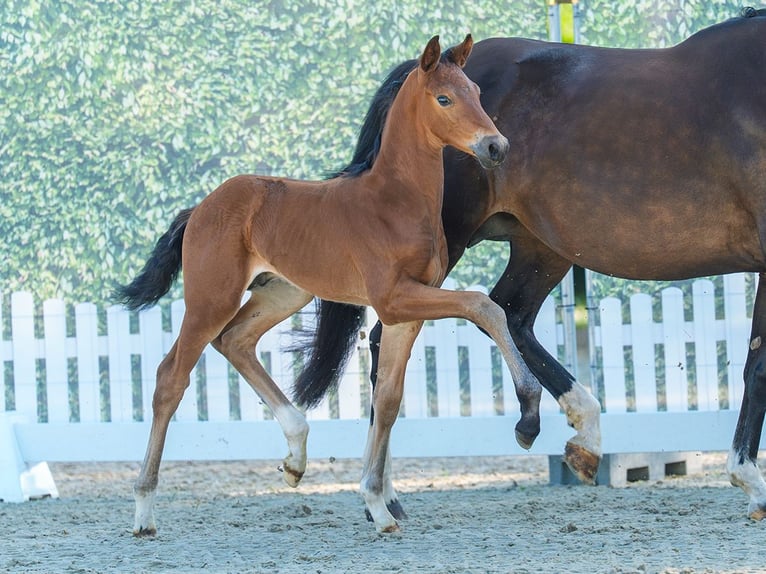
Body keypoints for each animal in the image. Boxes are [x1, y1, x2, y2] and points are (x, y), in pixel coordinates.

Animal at [115, 34, 536, 535]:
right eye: (444, 98)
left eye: (475, 91)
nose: (496, 146)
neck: (394, 202)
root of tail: (199, 208)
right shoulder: (394, 300)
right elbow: (483, 306)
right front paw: (528, 412)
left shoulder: (406, 313)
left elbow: (388, 400)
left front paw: (378, 506)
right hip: (210, 299)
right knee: (170, 378)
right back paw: (143, 512)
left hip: (283, 292)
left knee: (235, 341)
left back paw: (296, 458)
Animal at [294, 8, 766, 521]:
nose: (495, 145)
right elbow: (758, 364)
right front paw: (750, 482)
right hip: (452, 244)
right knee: (394, 339)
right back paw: (384, 498)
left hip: (541, 248)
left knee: (509, 314)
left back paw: (570, 434)